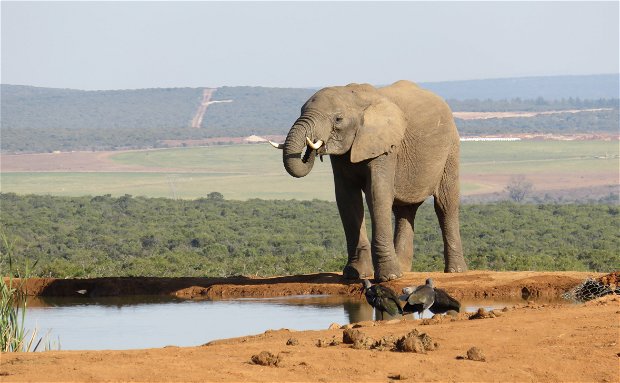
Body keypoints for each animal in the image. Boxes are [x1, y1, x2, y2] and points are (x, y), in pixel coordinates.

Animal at [268, 80, 468, 282]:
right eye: (300, 110)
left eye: (338, 119)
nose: (313, 146)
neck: (355, 97)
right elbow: (347, 197)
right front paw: (354, 274)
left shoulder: (386, 146)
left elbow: (377, 193)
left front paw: (389, 277)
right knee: (404, 210)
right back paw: (404, 270)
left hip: (451, 148)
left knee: (445, 204)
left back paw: (455, 271)